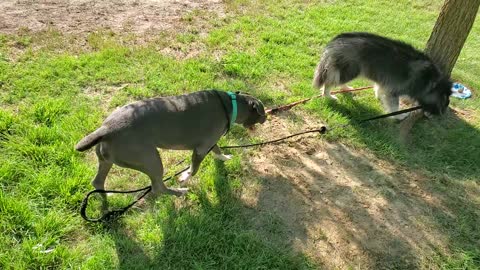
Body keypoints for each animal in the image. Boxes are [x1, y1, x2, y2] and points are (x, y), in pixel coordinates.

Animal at [75, 88, 266, 205]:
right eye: (262, 111)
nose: (266, 117)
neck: (230, 105)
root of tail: (106, 128)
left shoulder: (210, 141)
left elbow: (217, 149)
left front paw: (225, 157)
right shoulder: (201, 148)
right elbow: (194, 169)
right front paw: (184, 177)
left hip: (107, 159)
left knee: (97, 181)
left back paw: (108, 196)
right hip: (150, 159)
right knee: (158, 187)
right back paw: (180, 191)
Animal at [314, 32, 452, 119]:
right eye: (443, 102)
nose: (443, 113)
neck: (430, 82)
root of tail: (336, 40)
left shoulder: (386, 83)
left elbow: (380, 89)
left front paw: (379, 96)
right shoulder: (394, 90)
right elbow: (394, 107)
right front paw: (399, 116)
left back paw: (346, 88)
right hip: (350, 71)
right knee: (329, 82)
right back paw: (328, 95)